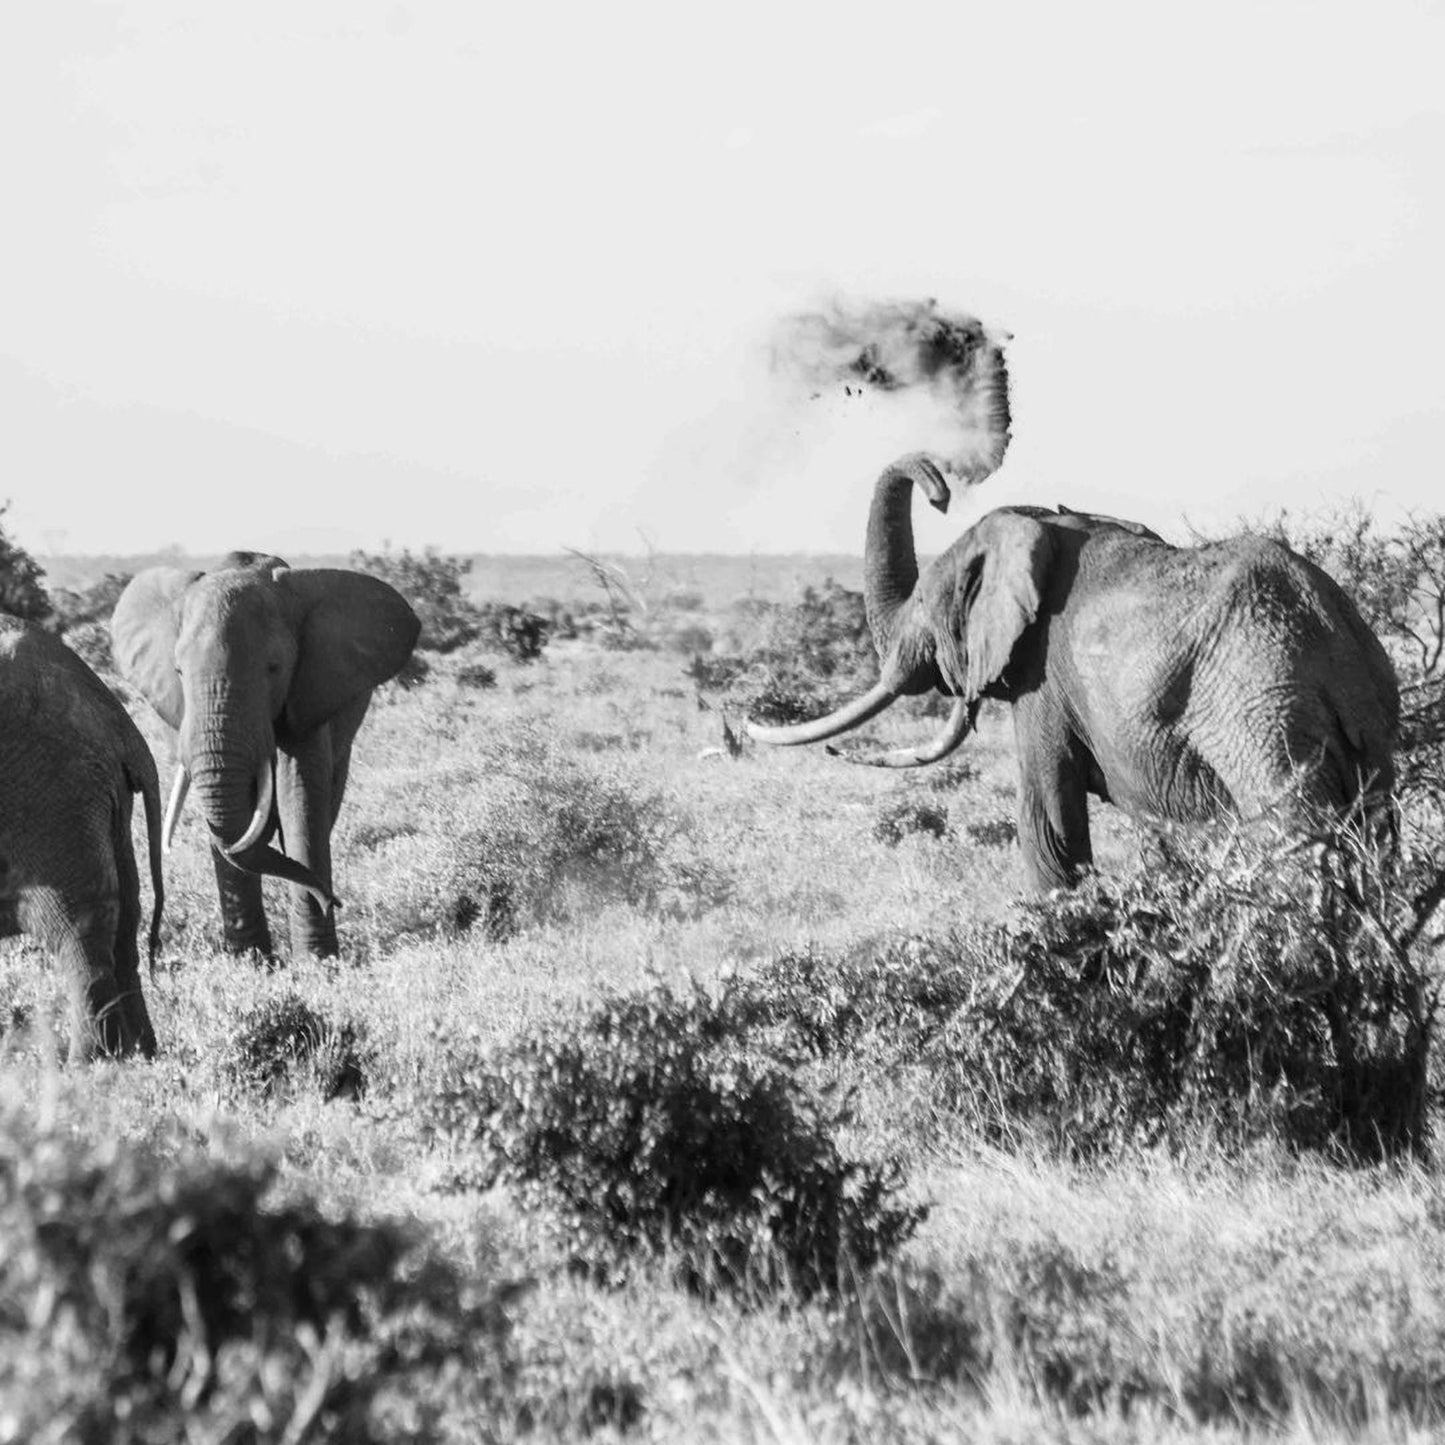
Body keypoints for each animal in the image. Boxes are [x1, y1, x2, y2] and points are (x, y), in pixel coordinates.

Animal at [110, 553, 420, 958]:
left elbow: (299, 797)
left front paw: (317, 961)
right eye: (178, 670)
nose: (334, 901)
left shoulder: (308, 690)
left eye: (274, 667)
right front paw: (251, 962)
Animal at [748, 454, 1400, 891]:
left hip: (1260, 717)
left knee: (1292, 839)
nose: (940, 489)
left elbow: (1048, 824)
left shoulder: (1044, 677)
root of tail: (1333, 648)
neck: (1046, 524)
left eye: (927, 602)